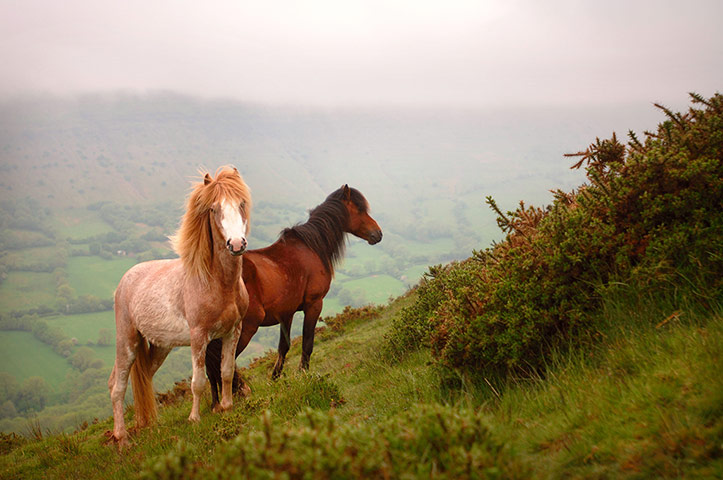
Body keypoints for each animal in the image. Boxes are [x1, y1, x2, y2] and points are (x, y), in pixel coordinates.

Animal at [108, 166, 252, 448]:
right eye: (214, 208)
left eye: (241, 203)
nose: (236, 244)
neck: (217, 283)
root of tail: (124, 280)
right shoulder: (199, 337)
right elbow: (198, 381)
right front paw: (194, 419)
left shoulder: (233, 331)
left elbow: (226, 371)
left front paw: (227, 407)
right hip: (127, 341)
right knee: (117, 385)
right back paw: (122, 438)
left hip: (160, 347)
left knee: (143, 378)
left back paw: (146, 424)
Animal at [205, 184, 382, 407]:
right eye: (359, 210)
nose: (378, 234)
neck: (311, 246)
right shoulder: (314, 304)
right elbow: (307, 343)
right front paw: (304, 374)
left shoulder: (286, 314)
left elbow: (284, 347)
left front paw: (275, 378)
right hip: (246, 327)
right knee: (222, 360)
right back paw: (236, 394)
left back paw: (215, 402)